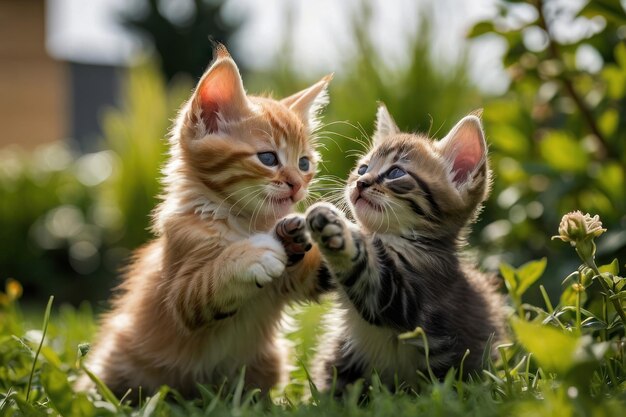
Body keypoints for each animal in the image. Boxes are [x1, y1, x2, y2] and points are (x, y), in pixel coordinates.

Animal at [79, 44, 332, 396]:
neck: (246, 222)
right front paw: (250, 255)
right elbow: (211, 279)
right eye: (268, 158)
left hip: (270, 359)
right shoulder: (180, 292)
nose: (297, 184)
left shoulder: (297, 280)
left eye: (305, 163)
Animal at [278, 104, 502, 394]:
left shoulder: (407, 299)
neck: (389, 237)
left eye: (395, 173)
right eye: (362, 168)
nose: (360, 183)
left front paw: (335, 229)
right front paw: (291, 231)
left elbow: (366, 271)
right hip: (340, 360)